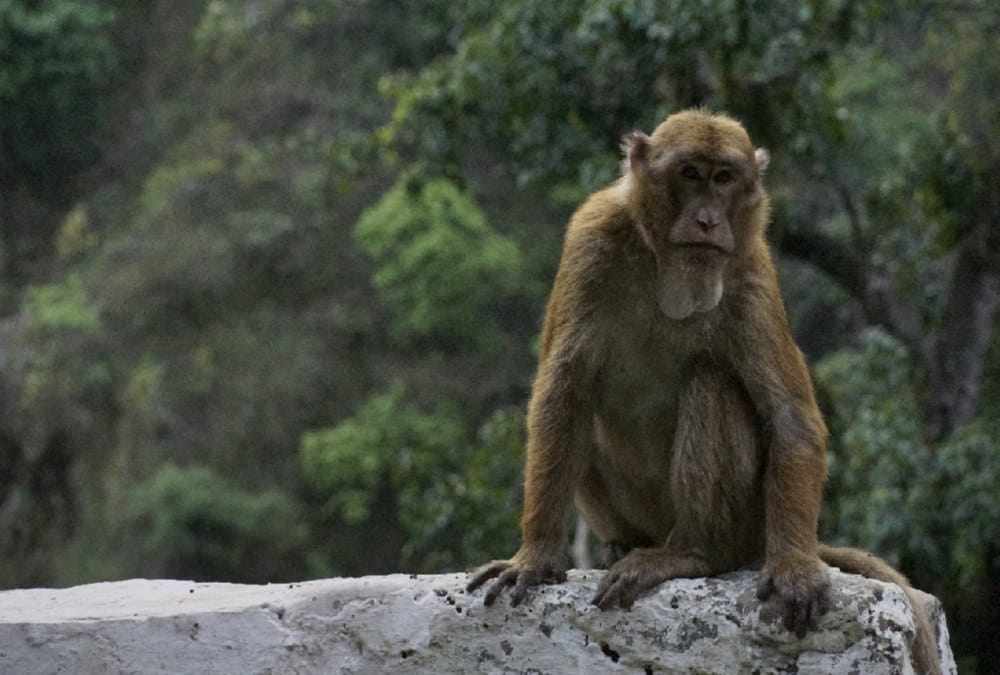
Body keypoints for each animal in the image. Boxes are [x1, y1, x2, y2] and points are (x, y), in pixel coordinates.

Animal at [466, 110, 940, 675]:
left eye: (724, 178)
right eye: (690, 174)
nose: (709, 221)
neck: (665, 268)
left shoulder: (751, 269)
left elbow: (790, 418)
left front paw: (795, 567)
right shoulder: (591, 240)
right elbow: (565, 394)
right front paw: (537, 556)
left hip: (747, 520)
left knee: (710, 381)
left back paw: (695, 553)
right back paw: (629, 545)